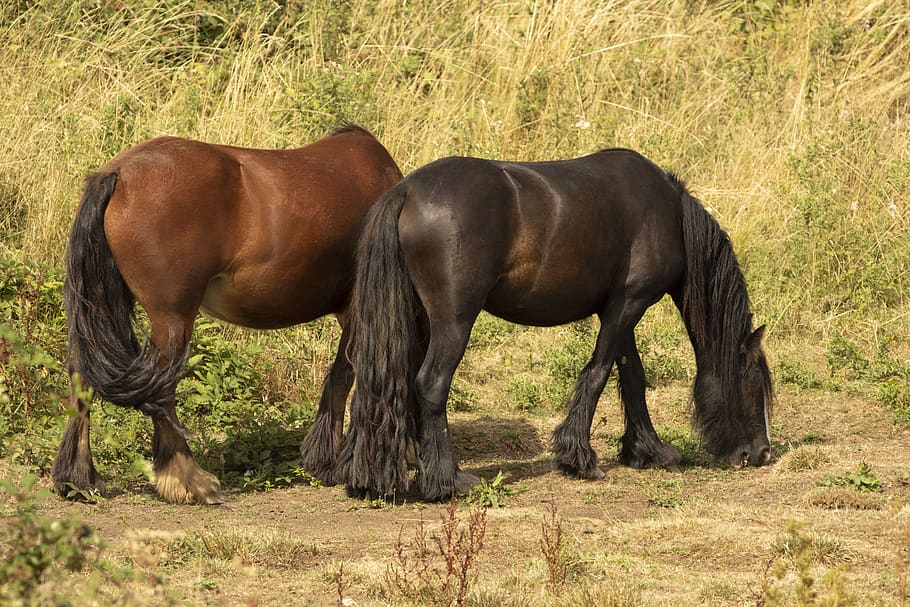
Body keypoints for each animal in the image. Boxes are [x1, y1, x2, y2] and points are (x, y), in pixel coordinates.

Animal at [51, 125, 403, 504]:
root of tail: (118, 174)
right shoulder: (357, 310)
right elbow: (343, 378)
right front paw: (329, 463)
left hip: (103, 312)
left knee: (84, 377)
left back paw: (78, 479)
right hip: (172, 320)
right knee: (162, 391)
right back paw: (189, 481)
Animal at [335, 148, 774, 502]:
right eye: (753, 383)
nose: (762, 452)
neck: (668, 214)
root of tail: (406, 191)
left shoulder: (620, 309)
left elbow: (632, 378)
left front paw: (648, 450)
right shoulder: (628, 305)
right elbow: (598, 374)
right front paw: (580, 458)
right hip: (453, 322)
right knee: (430, 386)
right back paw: (449, 481)